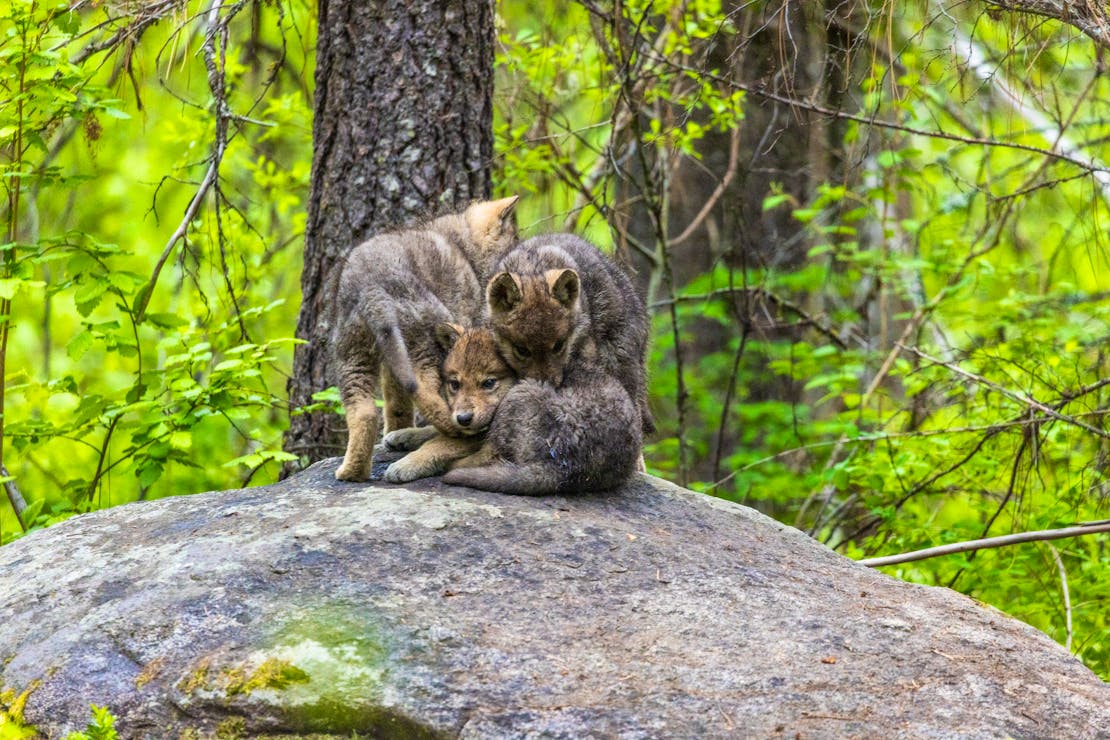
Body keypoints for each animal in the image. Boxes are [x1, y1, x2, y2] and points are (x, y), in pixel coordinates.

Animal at [332, 197, 518, 482]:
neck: (463, 245)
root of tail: (372, 288)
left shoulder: (392, 358)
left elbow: (395, 402)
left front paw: (395, 430)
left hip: (352, 355)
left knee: (364, 413)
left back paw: (352, 472)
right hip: (427, 342)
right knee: (427, 395)